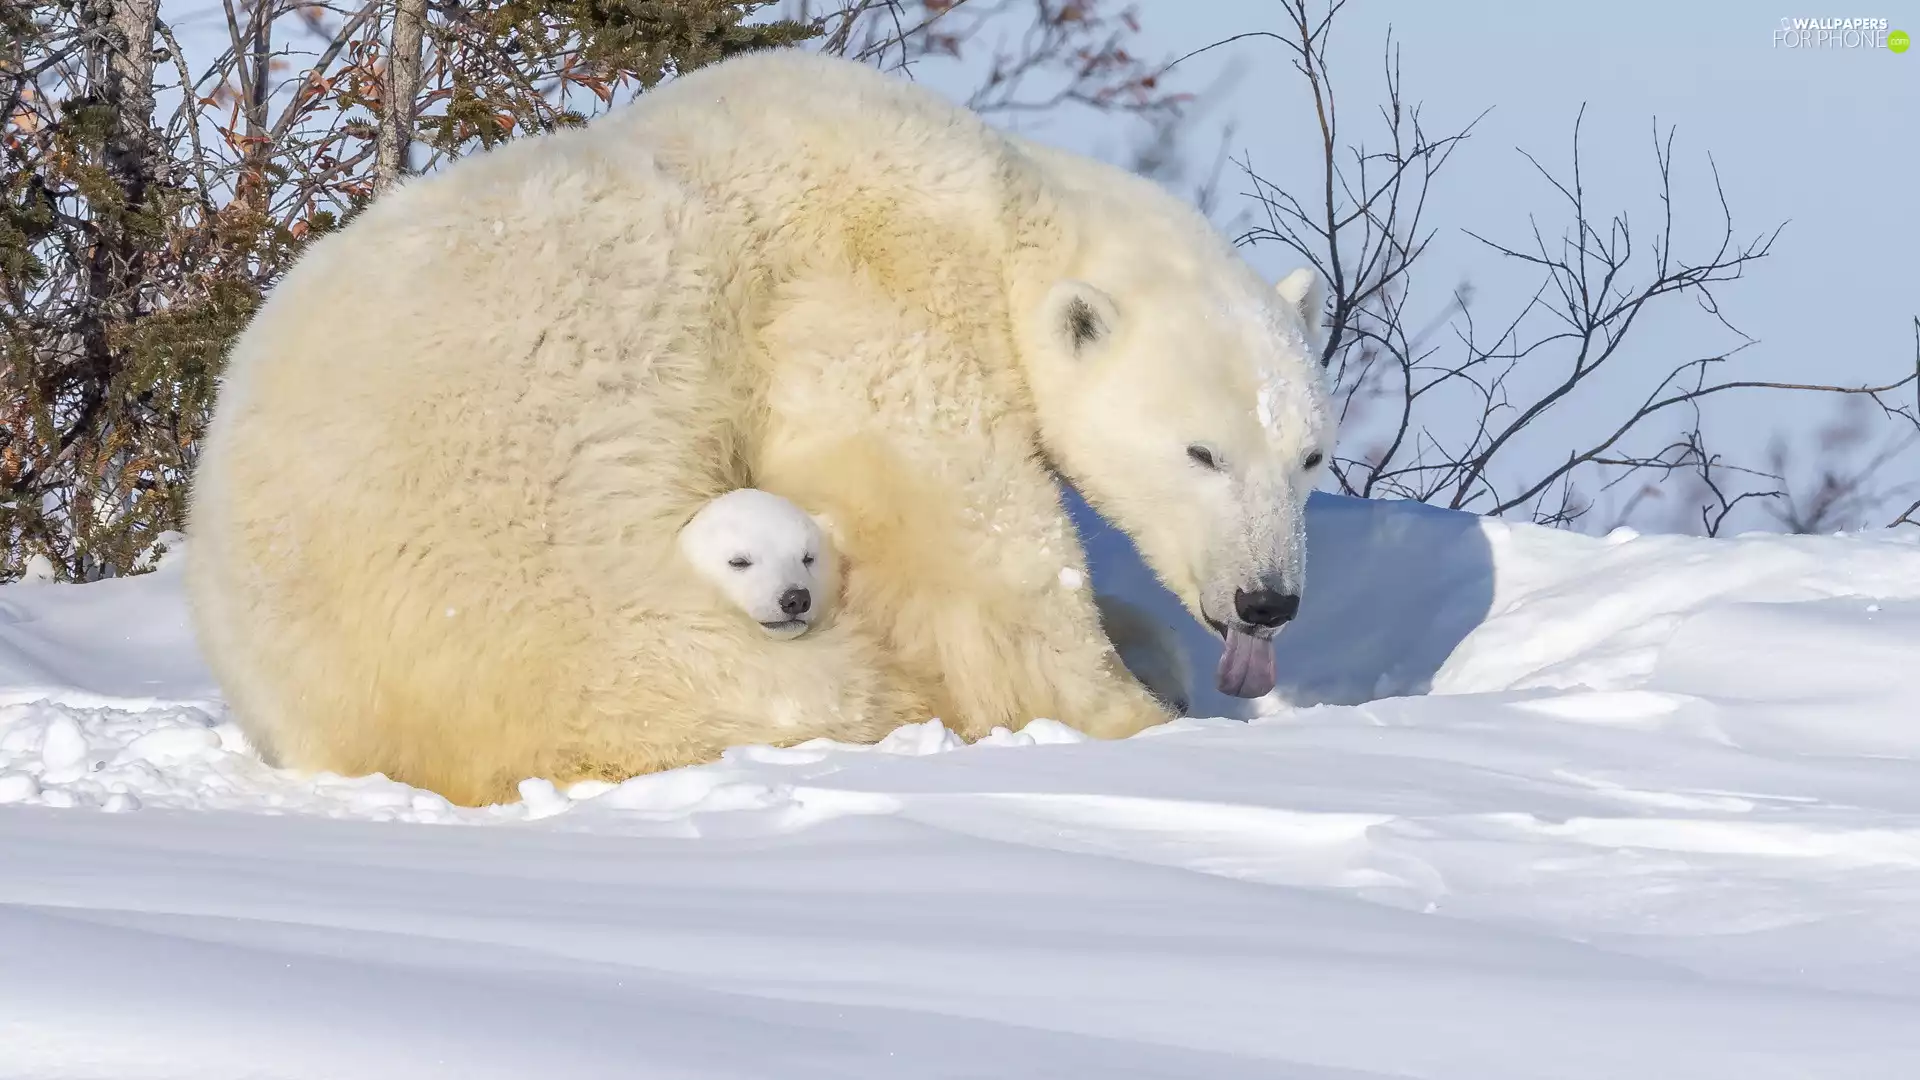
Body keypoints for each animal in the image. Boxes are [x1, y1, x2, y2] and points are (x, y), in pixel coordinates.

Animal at [184, 48, 1334, 805]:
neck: (995, 204)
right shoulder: (866, 287)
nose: (1269, 600)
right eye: (1201, 451)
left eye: (1309, 456)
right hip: (563, 596)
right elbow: (959, 524)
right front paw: (1131, 714)